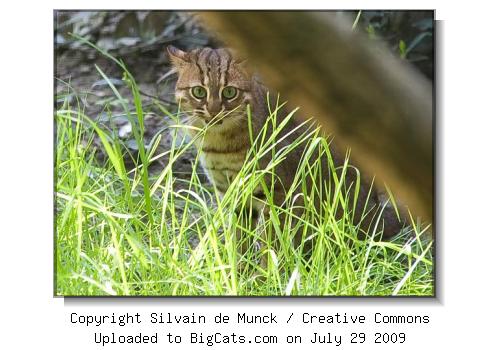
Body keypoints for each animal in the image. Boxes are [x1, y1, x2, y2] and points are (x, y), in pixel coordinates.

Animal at [166, 45, 404, 260]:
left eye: (229, 92)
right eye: (198, 91)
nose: (214, 110)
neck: (219, 144)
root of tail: (377, 214)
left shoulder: (277, 192)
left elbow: (270, 245)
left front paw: (264, 275)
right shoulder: (234, 193)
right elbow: (241, 241)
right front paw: (240, 271)